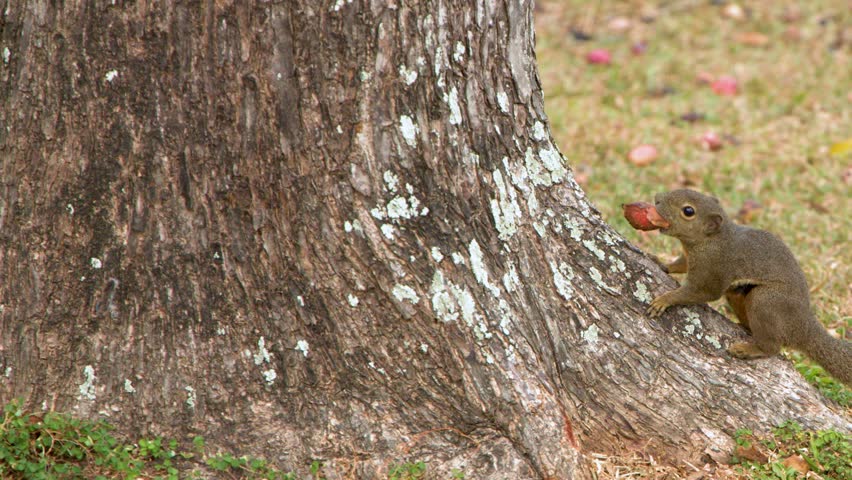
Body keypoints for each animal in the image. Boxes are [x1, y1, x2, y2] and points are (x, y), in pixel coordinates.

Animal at [636, 189, 851, 385]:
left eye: (688, 211)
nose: (656, 198)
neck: (712, 240)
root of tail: (803, 326)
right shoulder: (691, 258)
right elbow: (680, 264)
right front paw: (662, 263)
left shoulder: (714, 268)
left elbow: (704, 291)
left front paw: (665, 300)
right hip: (739, 296)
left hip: (765, 301)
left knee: (773, 347)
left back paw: (748, 349)